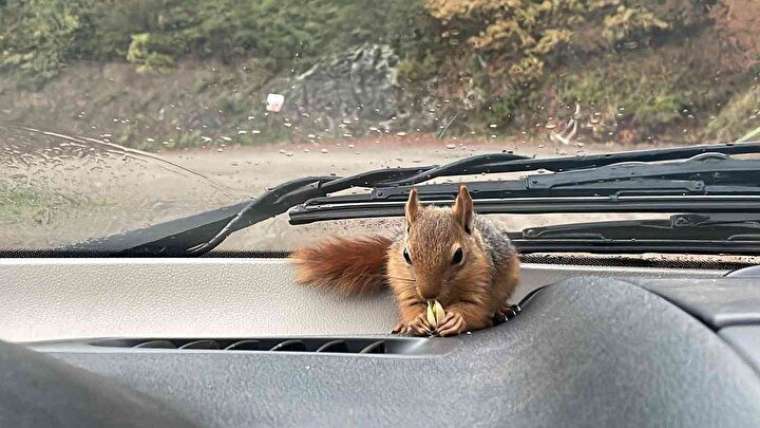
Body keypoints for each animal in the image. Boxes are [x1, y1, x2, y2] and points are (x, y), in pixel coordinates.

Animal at [288, 186, 520, 336]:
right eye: (406, 255)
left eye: (458, 256)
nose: (428, 294)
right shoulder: (405, 285)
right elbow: (410, 305)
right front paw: (416, 320)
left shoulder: (482, 280)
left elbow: (476, 309)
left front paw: (457, 319)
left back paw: (502, 310)